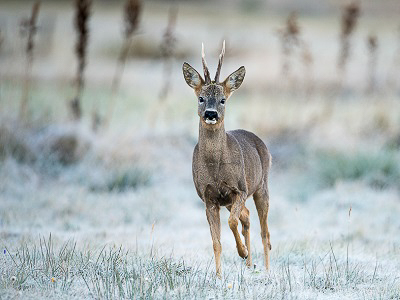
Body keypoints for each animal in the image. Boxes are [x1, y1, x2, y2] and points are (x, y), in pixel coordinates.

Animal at [182, 41, 272, 278]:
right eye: (201, 98)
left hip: (261, 186)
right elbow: (216, 242)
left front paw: (242, 252)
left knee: (264, 232)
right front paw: (219, 276)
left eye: (223, 100)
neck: (216, 168)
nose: (211, 114)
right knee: (247, 218)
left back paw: (266, 268)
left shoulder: (239, 189)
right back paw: (250, 264)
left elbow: (231, 222)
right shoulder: (208, 198)